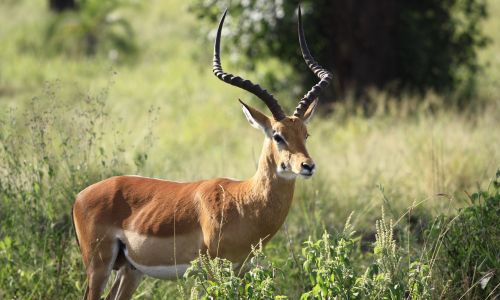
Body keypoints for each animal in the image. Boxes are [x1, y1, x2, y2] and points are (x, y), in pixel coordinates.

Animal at [71, 7, 332, 300]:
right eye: (278, 135)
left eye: (305, 134)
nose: (307, 166)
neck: (244, 201)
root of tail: (80, 196)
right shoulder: (213, 271)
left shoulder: (240, 269)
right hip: (98, 267)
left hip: (130, 270)